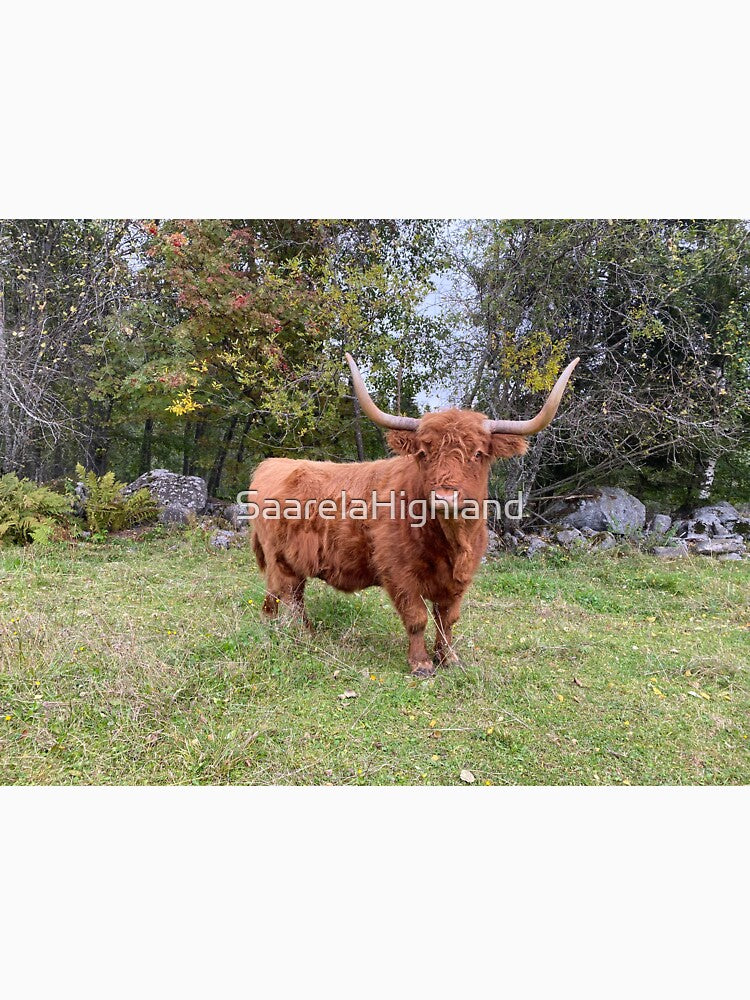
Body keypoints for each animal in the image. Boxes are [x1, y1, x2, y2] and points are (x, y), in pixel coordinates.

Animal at [249, 353, 578, 677]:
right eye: (423, 453)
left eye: (478, 454)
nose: (445, 496)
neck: (453, 541)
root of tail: (272, 463)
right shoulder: (399, 574)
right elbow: (417, 617)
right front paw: (421, 664)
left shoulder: (460, 580)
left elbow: (447, 619)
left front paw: (448, 659)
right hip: (279, 559)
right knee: (285, 594)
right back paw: (296, 633)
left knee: (288, 595)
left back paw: (297, 629)